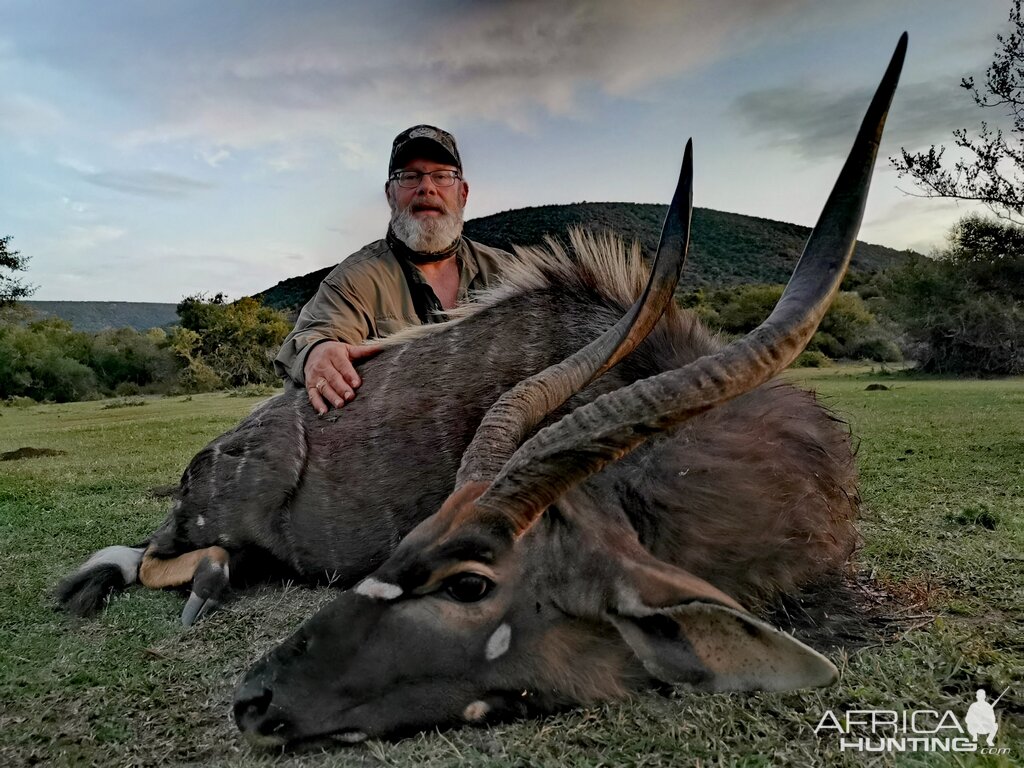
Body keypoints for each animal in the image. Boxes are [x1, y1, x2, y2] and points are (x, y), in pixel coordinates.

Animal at [59, 34, 905, 745]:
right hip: (212, 520)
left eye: (469, 583)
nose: (254, 697)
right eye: (408, 546)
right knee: (158, 557)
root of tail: (207, 459)